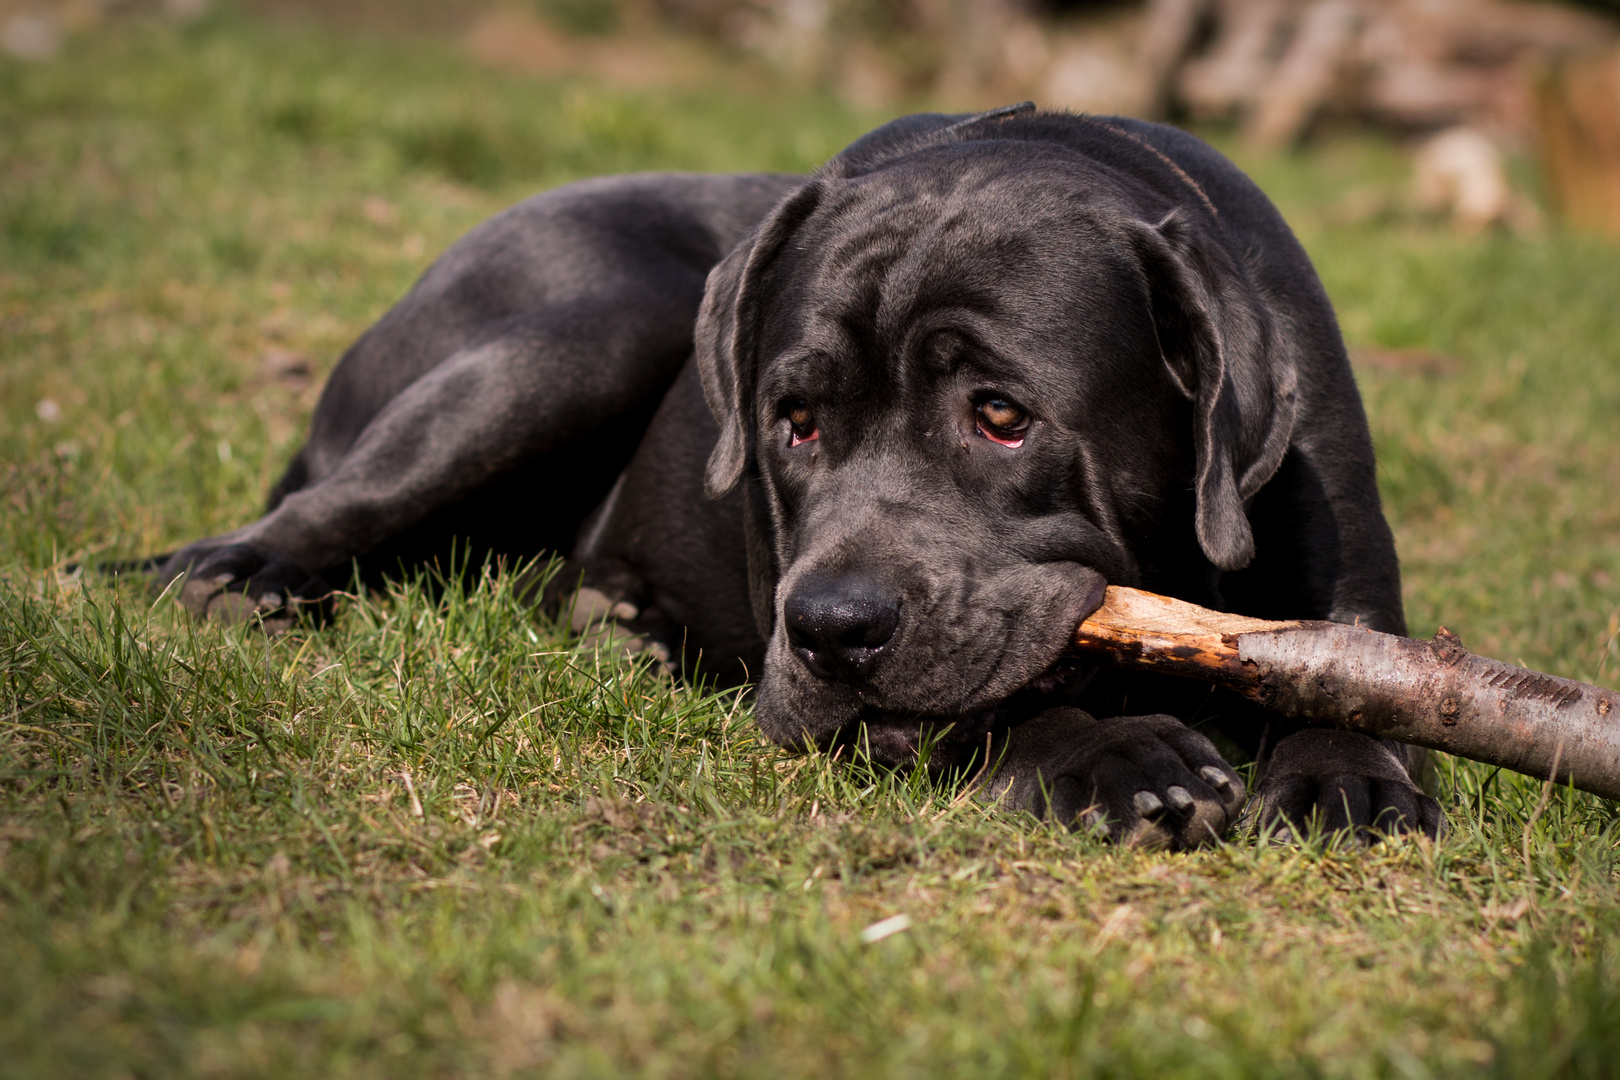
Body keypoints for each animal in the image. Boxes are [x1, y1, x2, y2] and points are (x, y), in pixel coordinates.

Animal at [154, 107, 1445, 841]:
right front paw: (1116, 754)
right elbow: (979, 707)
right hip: (606, 321)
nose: (832, 628)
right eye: (796, 421)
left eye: (1002, 416)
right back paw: (234, 579)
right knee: (320, 508)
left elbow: (1354, 663)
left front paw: (1348, 777)